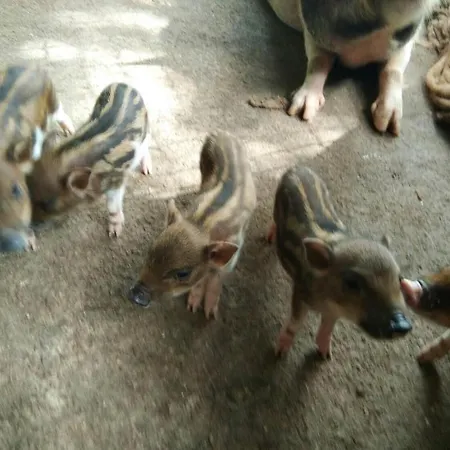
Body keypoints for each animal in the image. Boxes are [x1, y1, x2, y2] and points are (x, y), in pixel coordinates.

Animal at [128, 130, 257, 319]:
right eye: (150, 252)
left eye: (183, 273)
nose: (135, 294)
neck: (201, 225)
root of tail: (221, 132)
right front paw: (193, 307)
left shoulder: (230, 260)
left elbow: (215, 279)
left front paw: (210, 315)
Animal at [267, 0, 439, 135]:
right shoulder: (311, 27)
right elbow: (318, 61)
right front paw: (302, 112)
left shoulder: (407, 36)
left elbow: (392, 71)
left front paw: (387, 126)